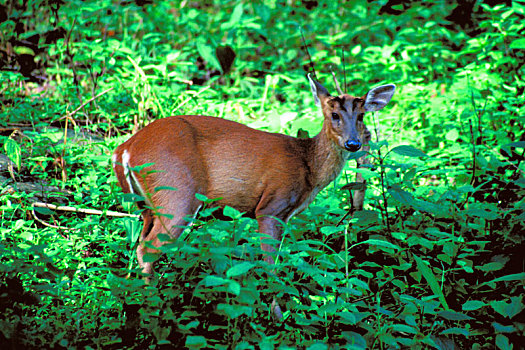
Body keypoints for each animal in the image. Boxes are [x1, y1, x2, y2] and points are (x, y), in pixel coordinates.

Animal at [112, 75, 396, 318]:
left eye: (361, 115)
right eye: (334, 114)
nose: (353, 143)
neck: (307, 166)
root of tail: (124, 149)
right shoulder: (271, 207)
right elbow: (270, 263)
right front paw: (277, 317)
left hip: (147, 205)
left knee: (138, 242)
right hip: (177, 194)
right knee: (148, 248)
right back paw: (154, 307)